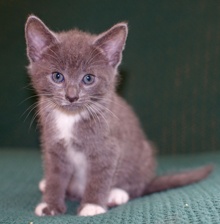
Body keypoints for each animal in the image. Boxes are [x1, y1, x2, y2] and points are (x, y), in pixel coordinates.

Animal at [24, 14, 212, 217]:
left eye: (88, 78)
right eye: (57, 76)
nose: (72, 96)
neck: (70, 117)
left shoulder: (108, 146)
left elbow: (100, 175)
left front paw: (93, 205)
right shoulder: (53, 146)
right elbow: (55, 176)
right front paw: (50, 205)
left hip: (143, 154)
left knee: (136, 186)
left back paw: (116, 194)